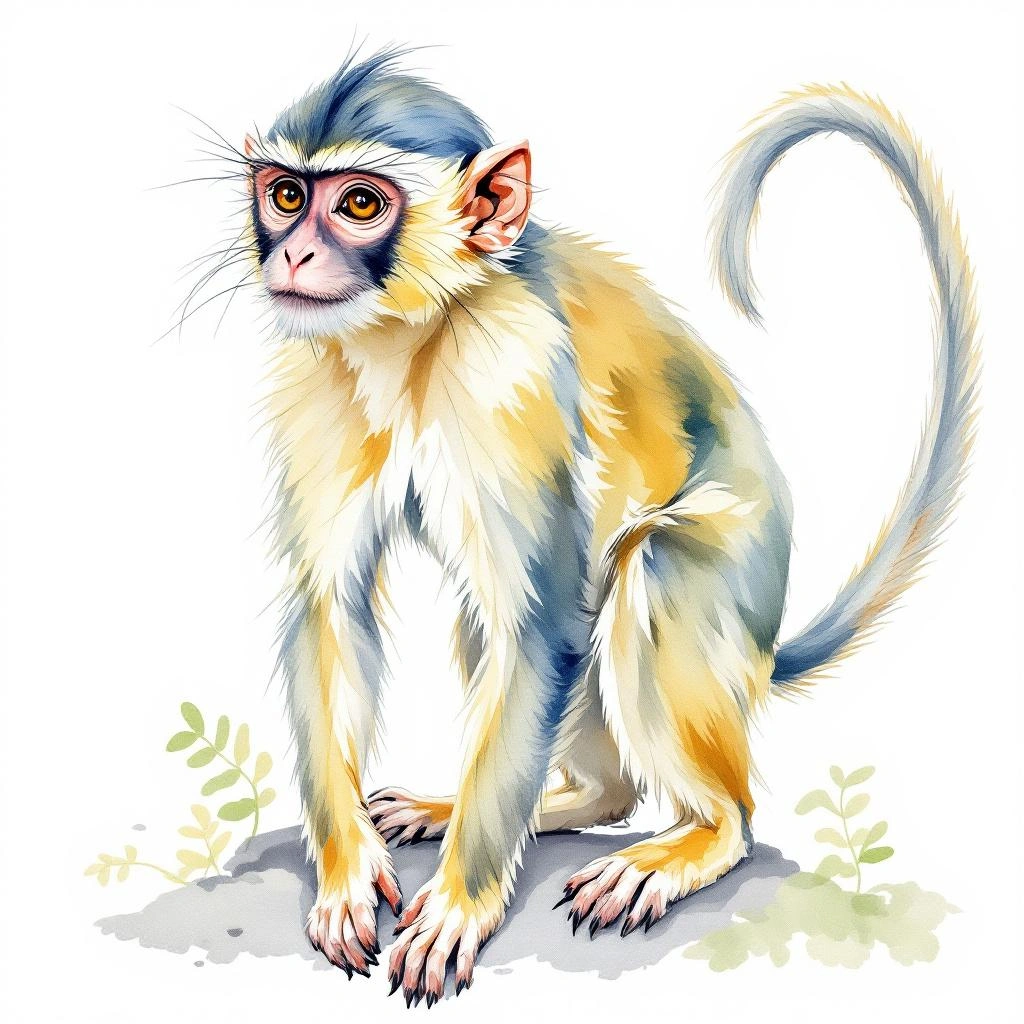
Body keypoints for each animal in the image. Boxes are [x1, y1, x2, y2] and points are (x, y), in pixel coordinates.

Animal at [221, 49, 978, 1005]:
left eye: (359, 204)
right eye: (285, 194)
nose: (294, 251)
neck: (418, 332)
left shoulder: (513, 378)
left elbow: (537, 628)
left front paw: (461, 906)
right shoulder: (320, 369)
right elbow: (330, 606)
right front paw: (346, 873)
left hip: (735, 577)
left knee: (648, 568)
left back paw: (705, 831)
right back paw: (566, 800)